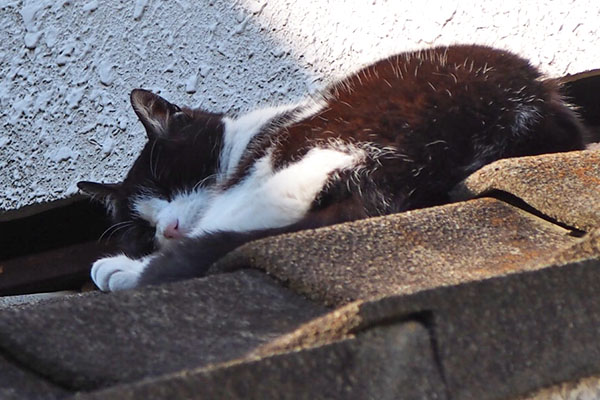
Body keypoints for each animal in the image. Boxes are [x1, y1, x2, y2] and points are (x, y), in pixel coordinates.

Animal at [78, 45, 584, 292]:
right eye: (143, 229)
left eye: (170, 181)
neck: (244, 136)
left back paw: (120, 272)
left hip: (303, 150)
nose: (169, 228)